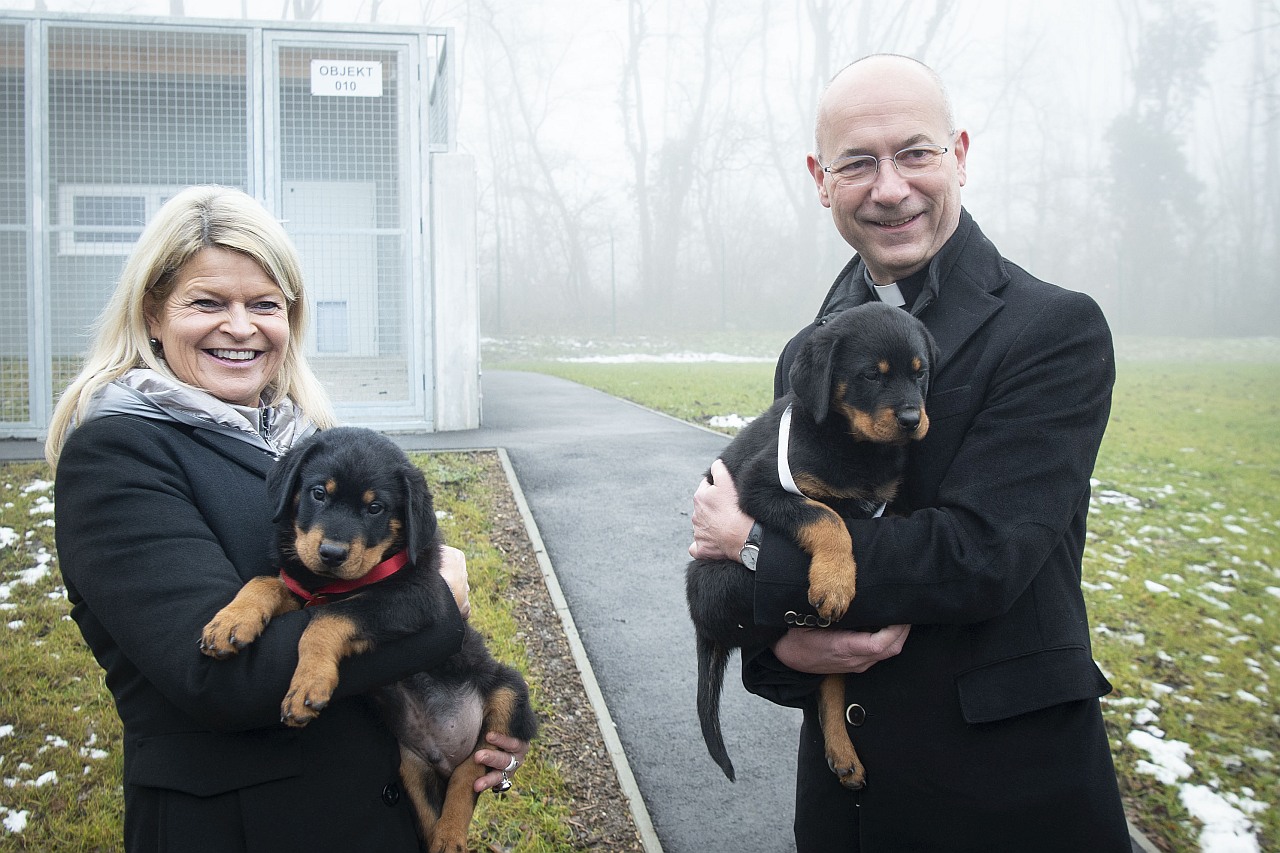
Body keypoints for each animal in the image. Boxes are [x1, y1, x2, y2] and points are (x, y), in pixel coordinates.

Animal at [200, 427, 540, 845]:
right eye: (318, 493)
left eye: (375, 508)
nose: (331, 553)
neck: (332, 584)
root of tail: (448, 755)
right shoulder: (304, 589)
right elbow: (269, 582)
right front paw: (230, 622)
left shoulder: (417, 596)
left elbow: (329, 618)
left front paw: (307, 686)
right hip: (411, 767)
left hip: (507, 695)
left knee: (469, 775)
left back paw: (451, 837)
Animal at [686, 300, 936, 788]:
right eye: (871, 374)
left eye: (921, 373)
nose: (912, 420)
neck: (855, 446)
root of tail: (701, 625)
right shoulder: (762, 487)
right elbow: (827, 516)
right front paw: (835, 583)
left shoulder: (883, 502)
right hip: (732, 581)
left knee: (830, 678)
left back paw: (843, 753)